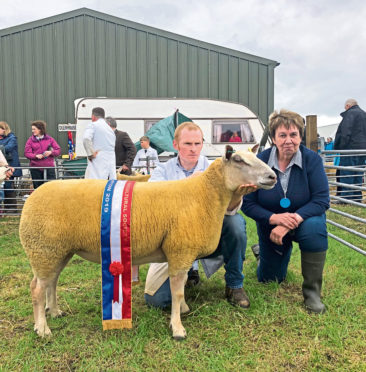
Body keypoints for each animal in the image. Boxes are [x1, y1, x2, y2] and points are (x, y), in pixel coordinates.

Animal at [19, 147, 278, 338]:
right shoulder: (180, 250)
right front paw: (177, 328)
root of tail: (31, 198)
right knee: (37, 288)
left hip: (56, 250)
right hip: (43, 247)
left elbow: (180, 289)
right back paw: (42, 328)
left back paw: (55, 312)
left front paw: (182, 310)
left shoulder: (181, 251)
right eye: (239, 160)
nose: (272, 176)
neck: (204, 195)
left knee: (51, 282)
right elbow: (176, 291)